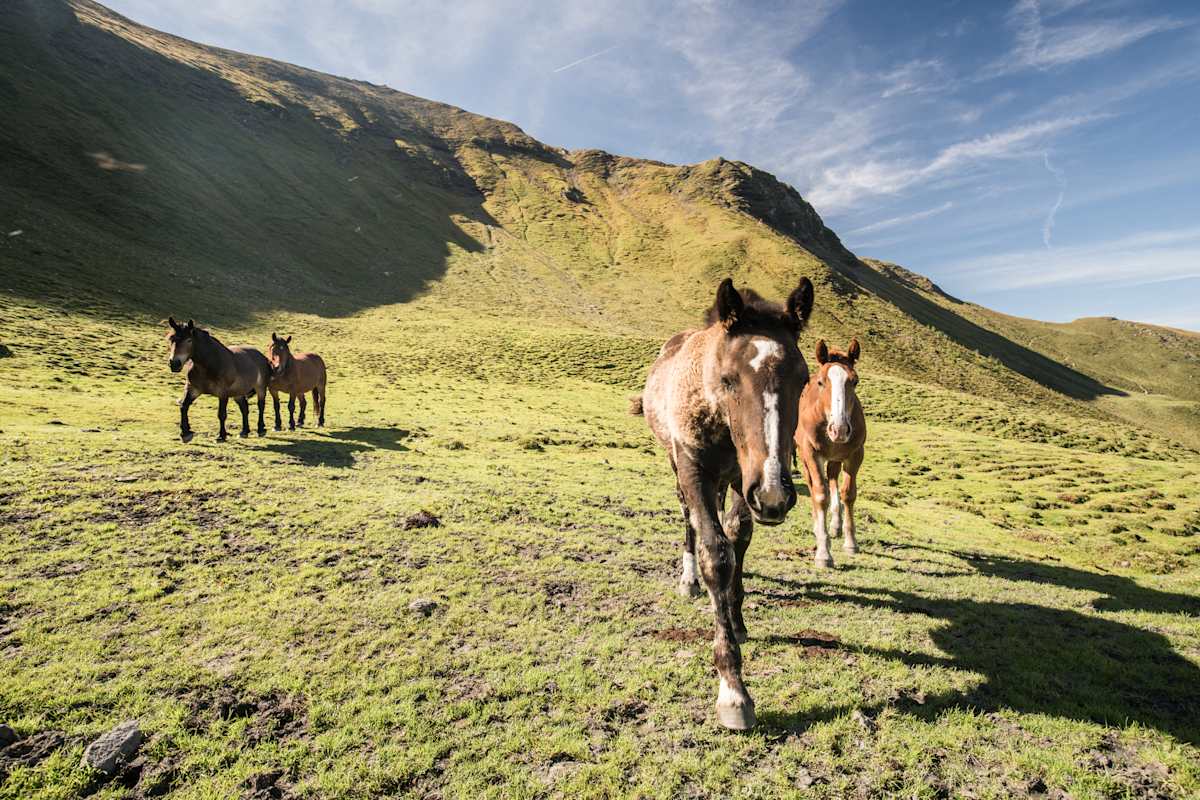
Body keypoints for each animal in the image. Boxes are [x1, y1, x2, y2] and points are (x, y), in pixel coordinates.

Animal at [633, 276, 814, 730]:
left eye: (804, 380)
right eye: (730, 378)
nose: (775, 495)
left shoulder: (743, 478)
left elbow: (738, 535)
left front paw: (737, 617)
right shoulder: (694, 468)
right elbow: (716, 553)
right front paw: (733, 689)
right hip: (679, 465)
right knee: (689, 521)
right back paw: (689, 581)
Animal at [795, 338, 866, 568]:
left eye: (854, 381)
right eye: (821, 382)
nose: (839, 430)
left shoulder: (855, 454)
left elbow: (848, 494)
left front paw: (851, 542)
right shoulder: (811, 452)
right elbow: (820, 494)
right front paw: (823, 553)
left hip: (835, 458)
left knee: (833, 478)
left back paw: (835, 525)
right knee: (814, 486)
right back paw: (819, 527)